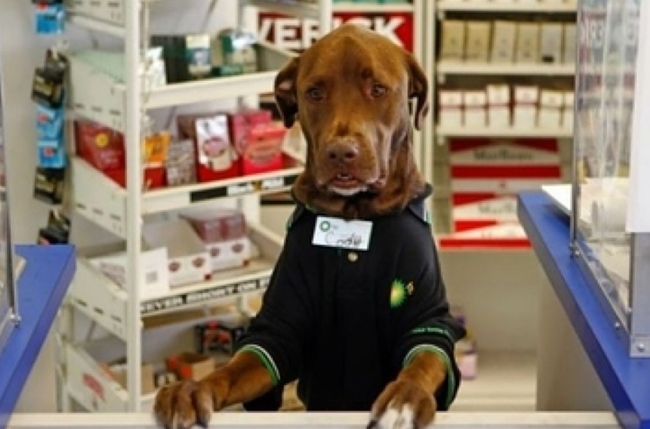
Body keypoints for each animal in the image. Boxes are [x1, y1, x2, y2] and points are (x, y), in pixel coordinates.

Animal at [154, 23, 465, 429]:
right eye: (314, 92)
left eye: (378, 89)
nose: (341, 153)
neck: (355, 215)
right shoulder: (278, 327)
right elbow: (236, 367)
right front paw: (193, 389)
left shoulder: (427, 321)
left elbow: (423, 362)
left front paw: (406, 398)